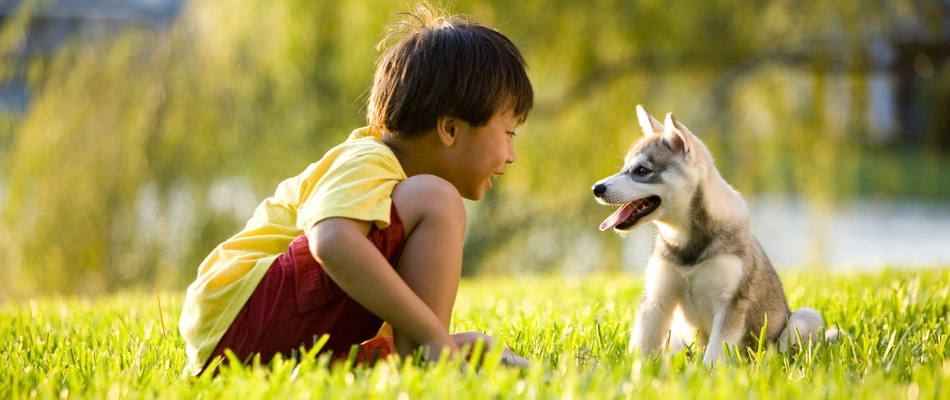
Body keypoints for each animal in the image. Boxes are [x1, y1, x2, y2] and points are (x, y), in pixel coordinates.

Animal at [596, 105, 832, 366]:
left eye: (641, 170)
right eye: (624, 168)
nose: (597, 188)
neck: (686, 241)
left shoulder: (729, 304)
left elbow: (716, 353)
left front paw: (708, 373)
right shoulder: (658, 298)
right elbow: (640, 345)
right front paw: (631, 371)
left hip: (804, 318)